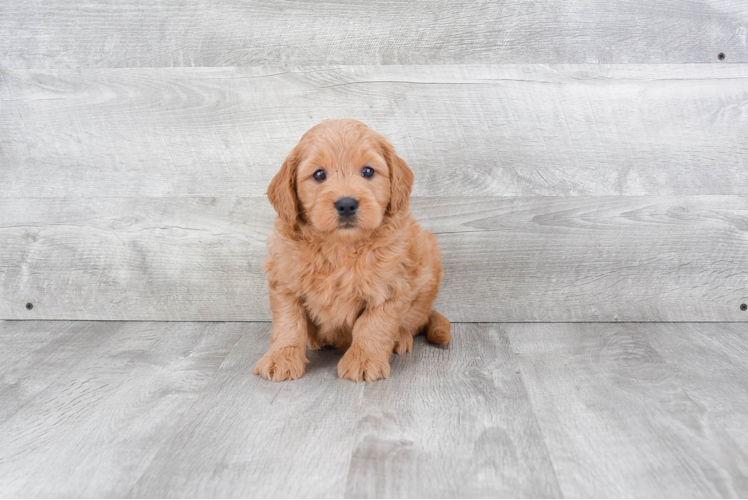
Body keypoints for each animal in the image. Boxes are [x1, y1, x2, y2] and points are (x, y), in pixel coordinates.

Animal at [251, 118, 450, 382]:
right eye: (319, 174)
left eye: (368, 171)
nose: (346, 204)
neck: (340, 247)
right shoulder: (284, 279)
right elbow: (288, 323)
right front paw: (281, 357)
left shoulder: (391, 284)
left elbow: (373, 324)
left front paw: (364, 359)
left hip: (427, 263)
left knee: (412, 322)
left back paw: (400, 338)